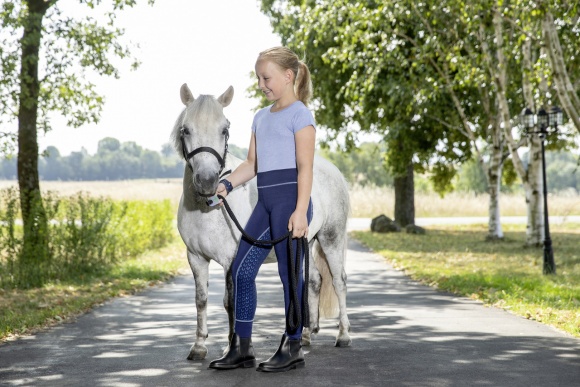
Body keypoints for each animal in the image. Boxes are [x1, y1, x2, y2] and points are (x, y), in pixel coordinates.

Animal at [172, 84, 352, 360]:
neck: (206, 210)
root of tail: (333, 171)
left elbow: (230, 301)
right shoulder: (195, 257)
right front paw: (199, 346)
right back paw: (306, 336)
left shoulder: (231, 258)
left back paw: (343, 336)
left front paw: (231, 346)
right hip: (304, 241)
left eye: (224, 129)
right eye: (186, 129)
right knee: (312, 281)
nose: (207, 181)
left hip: (332, 238)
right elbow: (201, 299)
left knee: (339, 281)